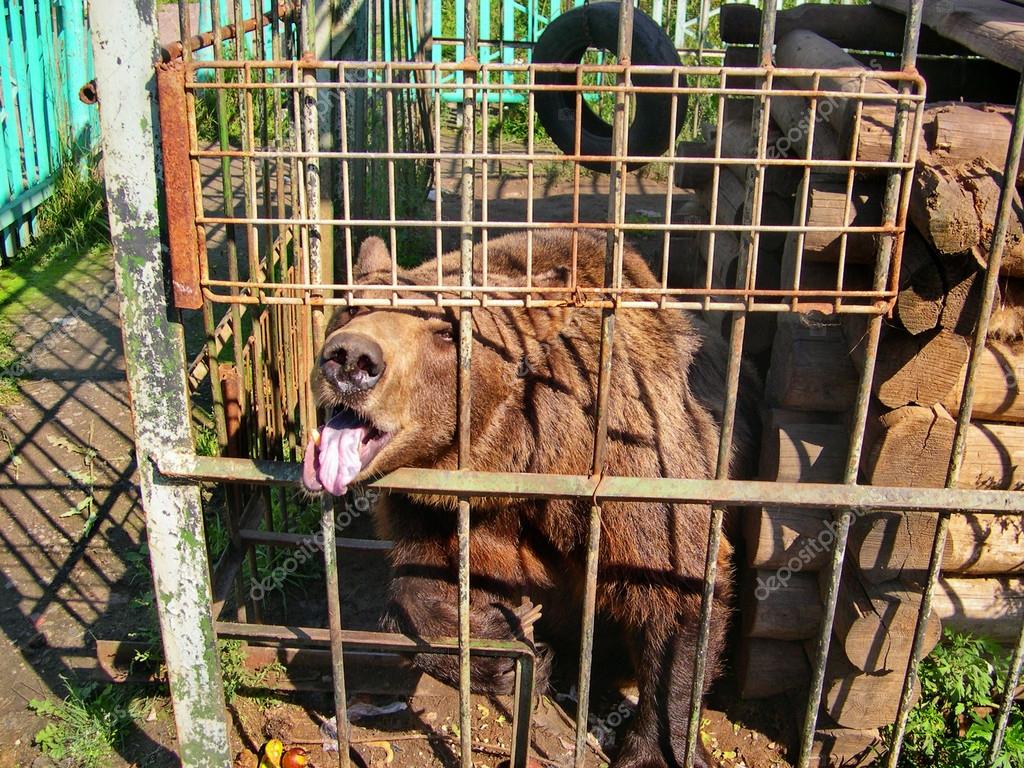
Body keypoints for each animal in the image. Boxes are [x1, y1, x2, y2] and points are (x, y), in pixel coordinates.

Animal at [303, 229, 760, 768]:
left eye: (446, 330)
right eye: (352, 307)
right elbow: (422, 584)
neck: (517, 457)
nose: (351, 359)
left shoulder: (635, 466)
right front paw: (500, 645)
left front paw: (651, 749)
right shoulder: (440, 507)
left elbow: (676, 591)